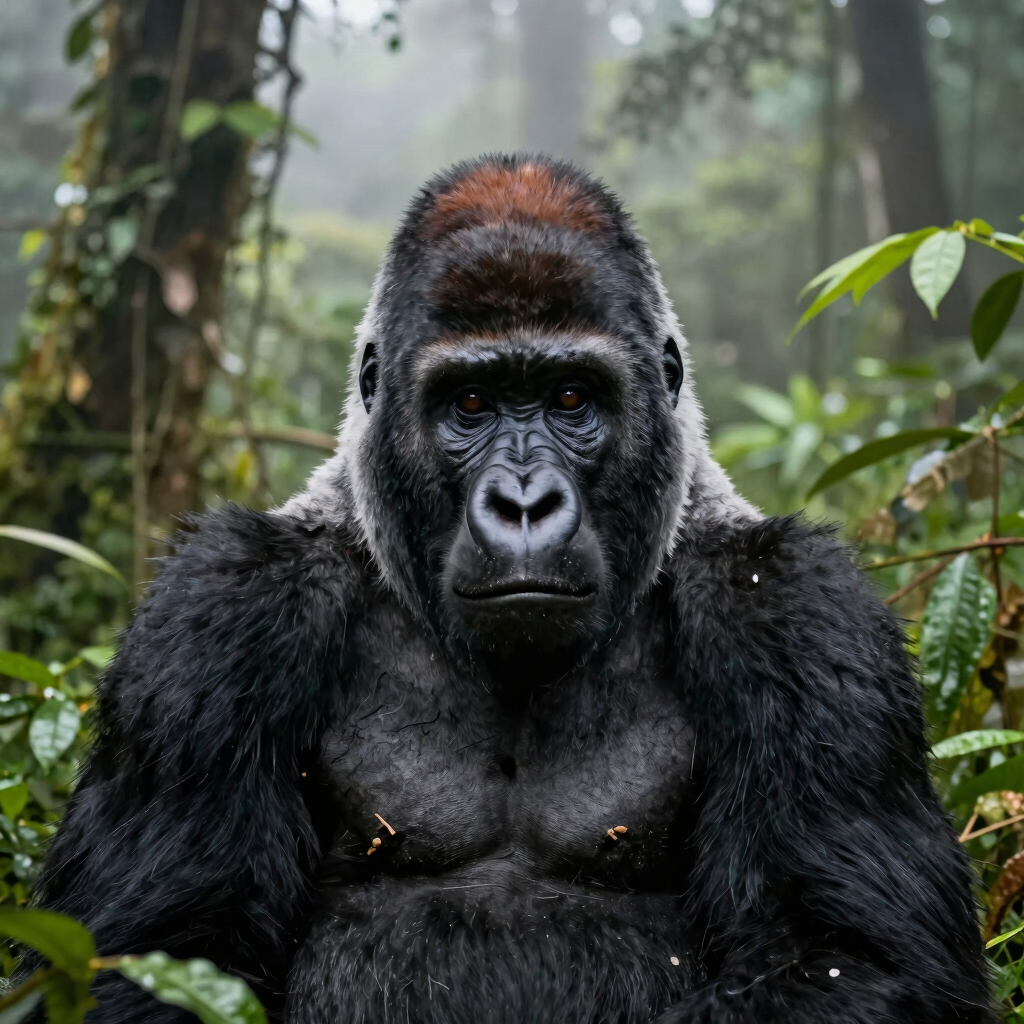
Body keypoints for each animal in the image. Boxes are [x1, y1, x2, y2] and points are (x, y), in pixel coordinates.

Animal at [35, 154, 991, 1024]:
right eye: (470, 404)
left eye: (571, 398)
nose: (524, 504)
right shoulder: (222, 605)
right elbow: (149, 959)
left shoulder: (795, 606)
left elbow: (852, 958)